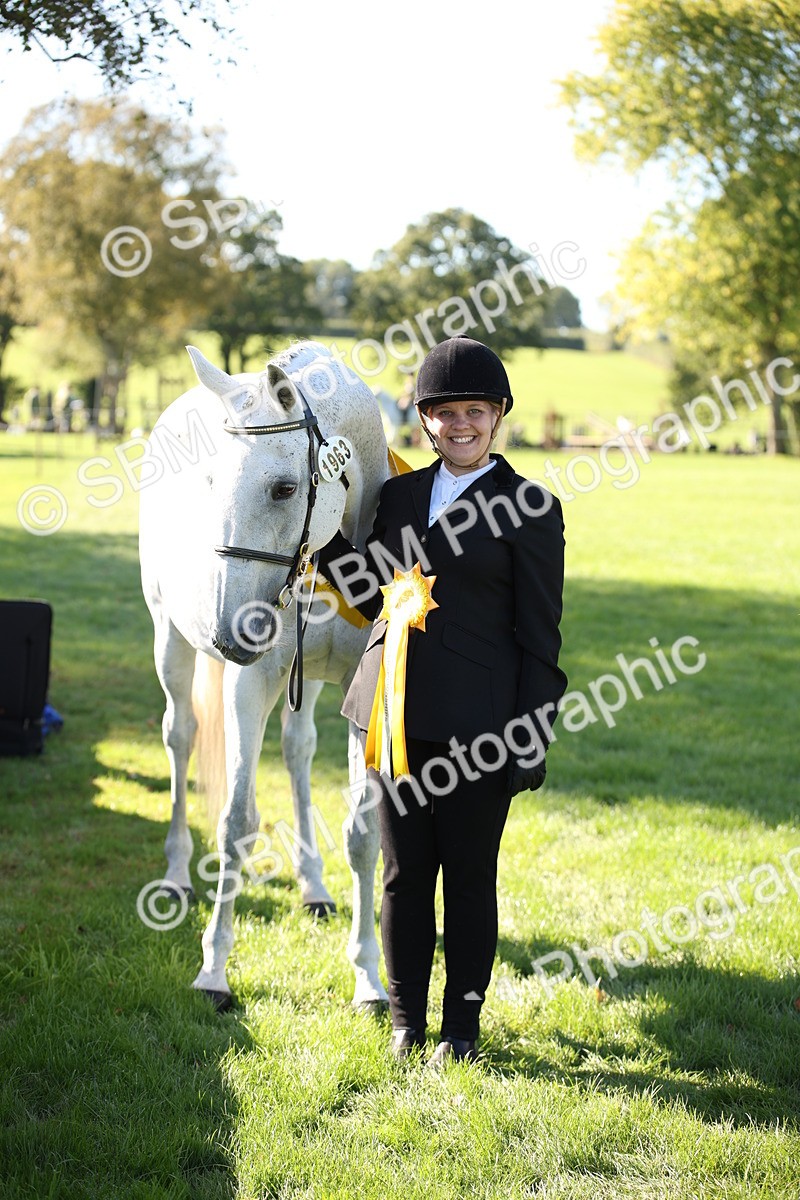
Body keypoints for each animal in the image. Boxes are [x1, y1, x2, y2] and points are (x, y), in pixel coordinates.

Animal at [138, 341, 390, 1012]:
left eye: (284, 488)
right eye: (210, 482)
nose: (231, 631)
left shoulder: (360, 689)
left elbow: (363, 831)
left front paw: (368, 975)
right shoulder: (248, 685)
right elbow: (236, 823)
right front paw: (213, 970)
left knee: (298, 749)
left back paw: (313, 887)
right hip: (169, 638)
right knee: (180, 735)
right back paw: (176, 873)